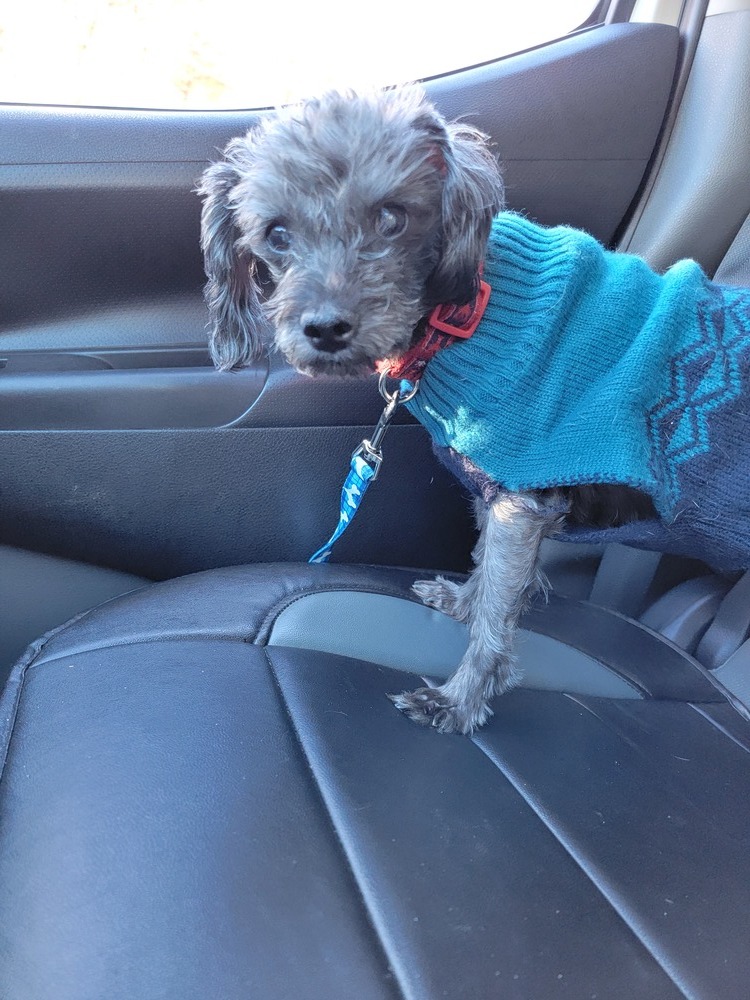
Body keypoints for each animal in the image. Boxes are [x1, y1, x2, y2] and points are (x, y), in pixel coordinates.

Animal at [198, 86, 750, 736]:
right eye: (277, 233)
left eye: (393, 217)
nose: (326, 329)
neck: (465, 314)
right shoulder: (497, 496)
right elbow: (487, 573)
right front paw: (462, 603)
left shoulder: (521, 504)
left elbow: (495, 615)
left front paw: (459, 701)